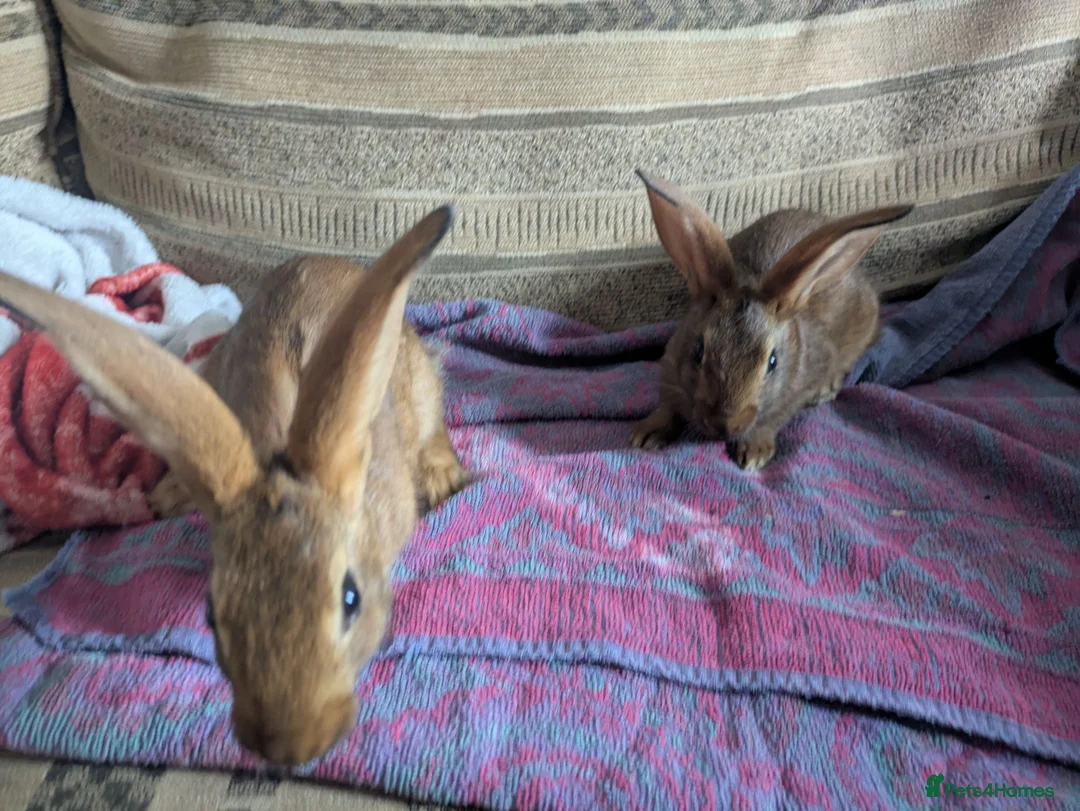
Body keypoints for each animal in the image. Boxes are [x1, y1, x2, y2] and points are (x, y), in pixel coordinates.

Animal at [629, 170, 912, 471]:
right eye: (698, 351)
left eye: (773, 362)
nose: (726, 424)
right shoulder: (670, 370)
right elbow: (666, 406)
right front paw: (646, 434)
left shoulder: (790, 396)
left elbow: (770, 422)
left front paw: (754, 452)